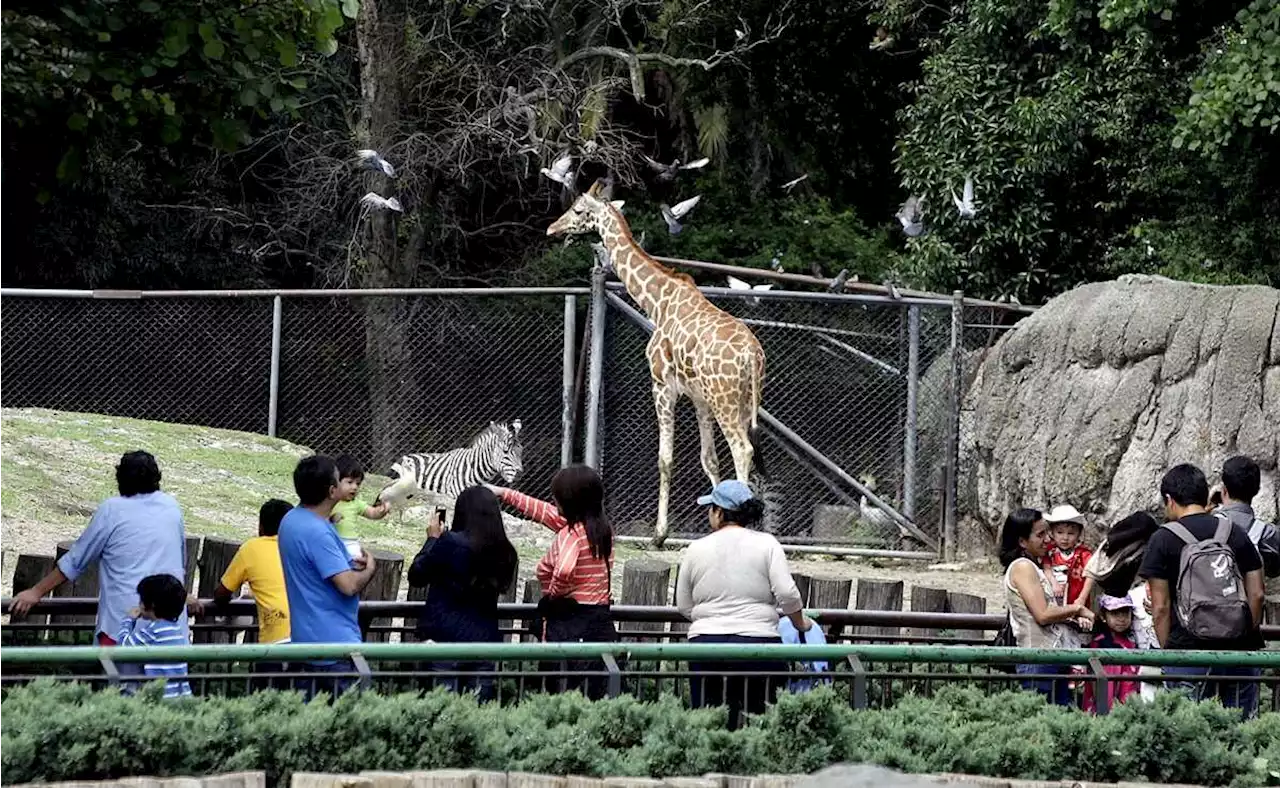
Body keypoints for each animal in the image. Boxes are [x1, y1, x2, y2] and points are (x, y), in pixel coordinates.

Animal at [545, 180, 762, 544]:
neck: (656, 301)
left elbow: (665, 458)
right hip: (743, 401)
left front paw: (660, 534)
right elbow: (709, 460)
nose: (552, 228)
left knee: (742, 449)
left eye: (578, 209)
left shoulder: (662, 384)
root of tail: (752, 356)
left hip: (726, 399)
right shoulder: (699, 397)